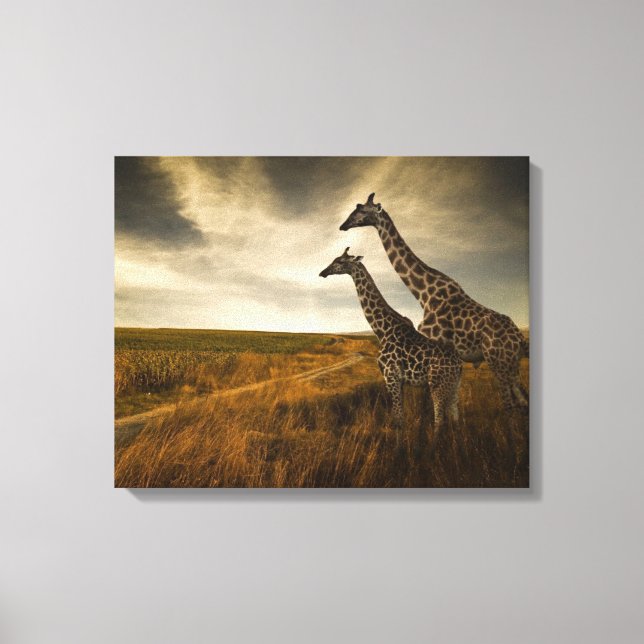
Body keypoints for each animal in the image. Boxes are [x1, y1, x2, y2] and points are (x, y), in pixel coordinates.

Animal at [319, 248, 462, 430]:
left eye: (340, 261)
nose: (323, 272)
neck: (382, 330)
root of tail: (459, 365)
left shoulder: (391, 376)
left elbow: (398, 419)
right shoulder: (398, 381)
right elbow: (399, 416)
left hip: (437, 385)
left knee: (439, 421)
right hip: (453, 386)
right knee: (455, 418)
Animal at [339, 193, 529, 411]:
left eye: (362, 210)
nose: (343, 225)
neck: (423, 293)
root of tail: (519, 338)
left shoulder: (434, 345)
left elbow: (429, 400)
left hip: (498, 361)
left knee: (509, 403)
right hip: (511, 365)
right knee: (522, 399)